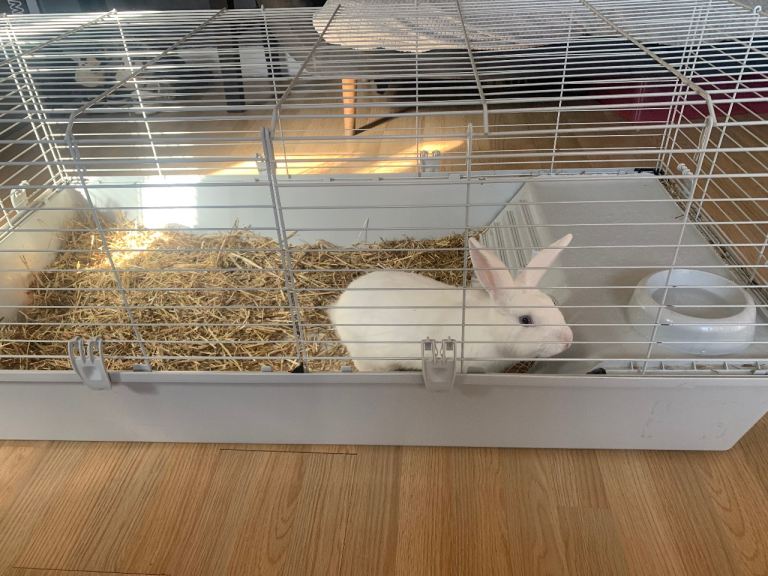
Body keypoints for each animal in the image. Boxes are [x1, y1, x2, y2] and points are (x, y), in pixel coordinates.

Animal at [328, 234, 574, 372]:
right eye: (525, 319)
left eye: (552, 302)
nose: (568, 340)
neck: (490, 328)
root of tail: (339, 306)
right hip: (368, 354)